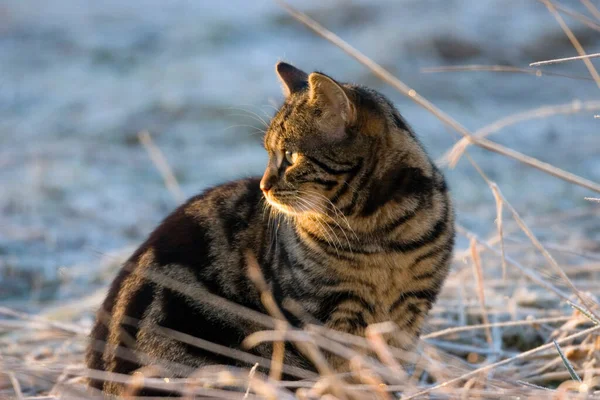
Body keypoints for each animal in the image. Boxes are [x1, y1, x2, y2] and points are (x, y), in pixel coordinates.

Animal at [85, 61, 454, 396]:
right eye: (268, 152)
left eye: (290, 155)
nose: (263, 186)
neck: (377, 233)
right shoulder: (317, 314)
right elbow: (337, 376)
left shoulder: (409, 313)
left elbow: (384, 374)